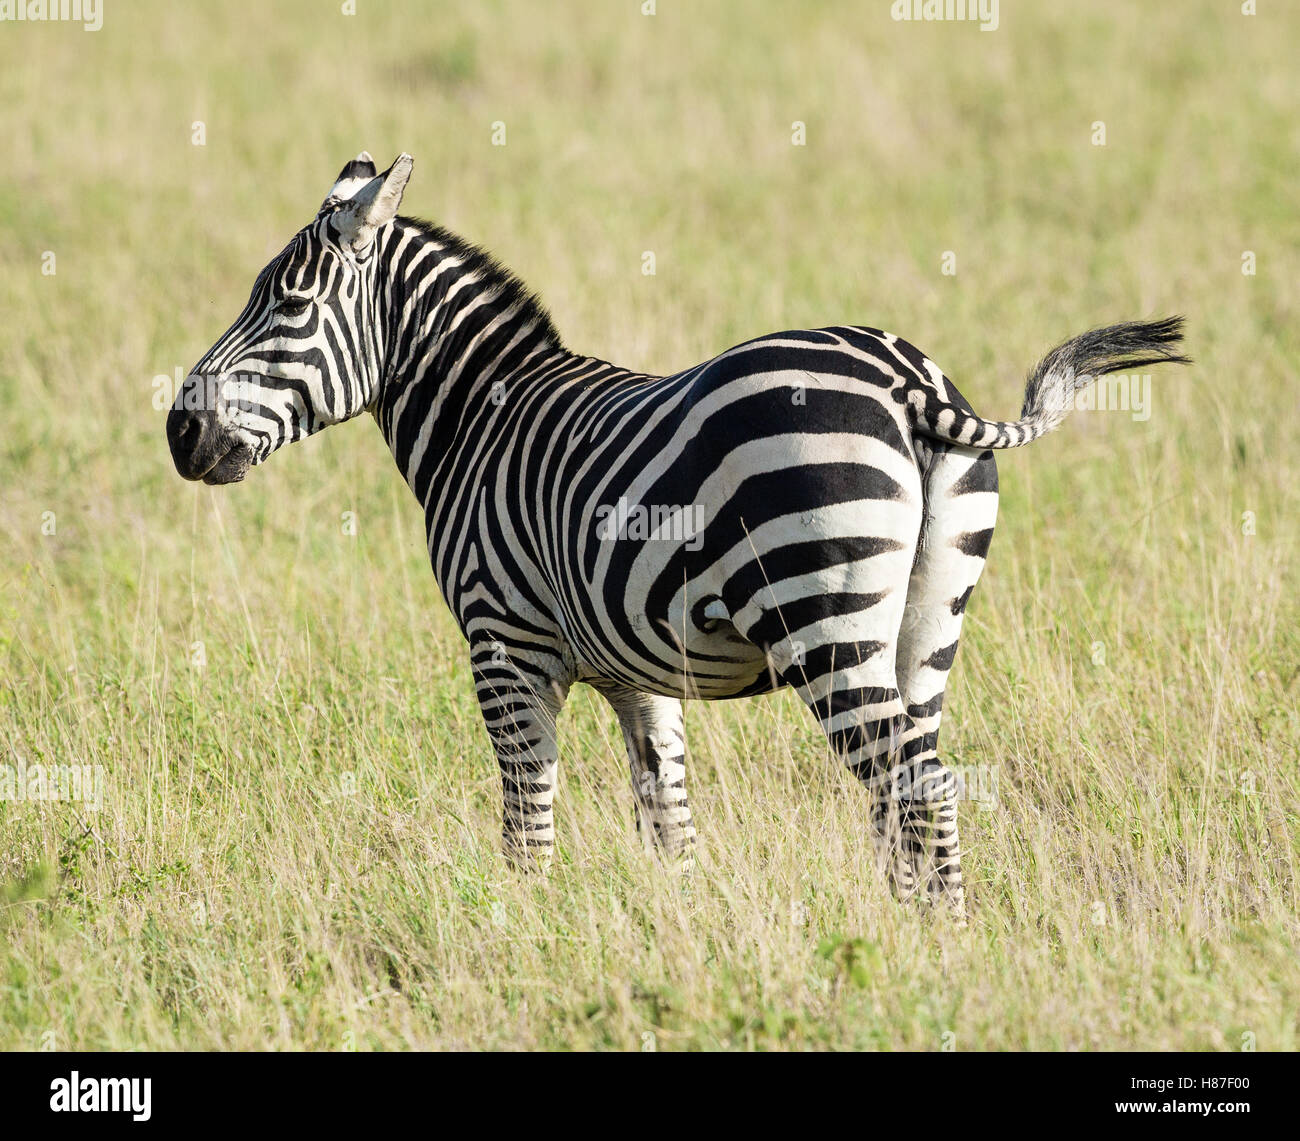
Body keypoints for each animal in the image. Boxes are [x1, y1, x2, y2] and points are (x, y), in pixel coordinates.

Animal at [166, 152, 1189, 914]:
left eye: (288, 307)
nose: (179, 431)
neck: (479, 420)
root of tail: (912, 381)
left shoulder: (505, 647)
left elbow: (527, 822)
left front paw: (520, 934)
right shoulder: (639, 672)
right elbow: (670, 822)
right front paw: (681, 932)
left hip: (827, 620)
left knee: (912, 785)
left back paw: (933, 948)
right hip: (928, 626)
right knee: (918, 783)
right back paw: (924, 934)